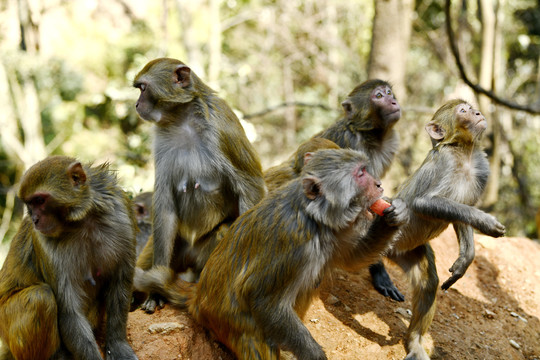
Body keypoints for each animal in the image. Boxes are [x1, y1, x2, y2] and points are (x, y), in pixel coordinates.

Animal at [0, 156, 138, 360]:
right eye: (29, 204)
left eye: (39, 200)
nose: (34, 220)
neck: (82, 221)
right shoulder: (44, 243)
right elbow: (69, 312)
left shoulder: (122, 215)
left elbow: (120, 283)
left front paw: (118, 345)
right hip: (6, 321)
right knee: (40, 296)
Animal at [132, 58, 264, 312]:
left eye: (143, 88)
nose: (136, 104)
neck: (182, 119)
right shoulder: (161, 139)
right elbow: (164, 205)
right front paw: (155, 293)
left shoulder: (222, 127)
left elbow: (251, 187)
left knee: (223, 232)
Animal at [372, 99, 506, 360]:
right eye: (463, 111)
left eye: (470, 107)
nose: (477, 112)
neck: (464, 153)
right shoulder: (446, 162)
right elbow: (424, 202)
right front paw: (485, 221)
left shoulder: (481, 168)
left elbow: (462, 213)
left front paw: (465, 259)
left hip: (407, 251)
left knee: (428, 282)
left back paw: (414, 342)